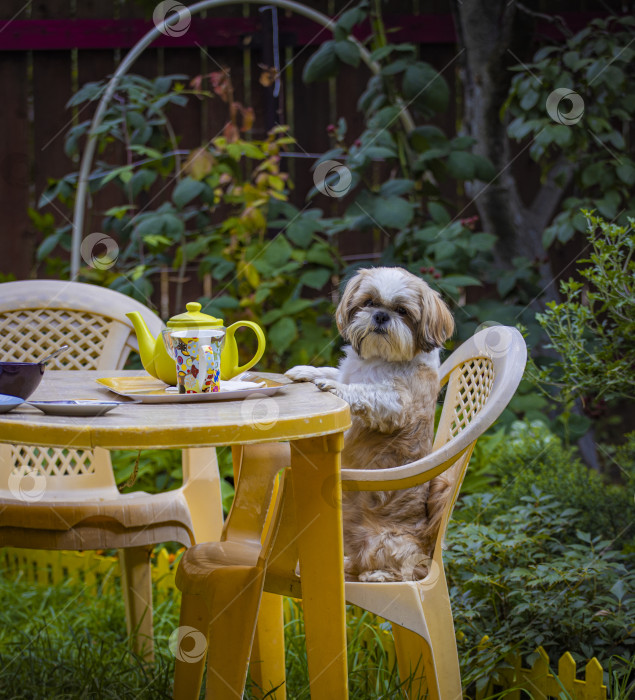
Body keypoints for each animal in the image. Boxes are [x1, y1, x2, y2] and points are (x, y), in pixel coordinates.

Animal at [286, 266, 454, 584]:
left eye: (402, 311)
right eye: (369, 302)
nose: (381, 316)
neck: (379, 358)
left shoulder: (396, 403)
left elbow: (364, 391)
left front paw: (335, 388)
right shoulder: (348, 371)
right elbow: (334, 371)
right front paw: (306, 371)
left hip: (387, 542)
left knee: (408, 570)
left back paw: (377, 575)